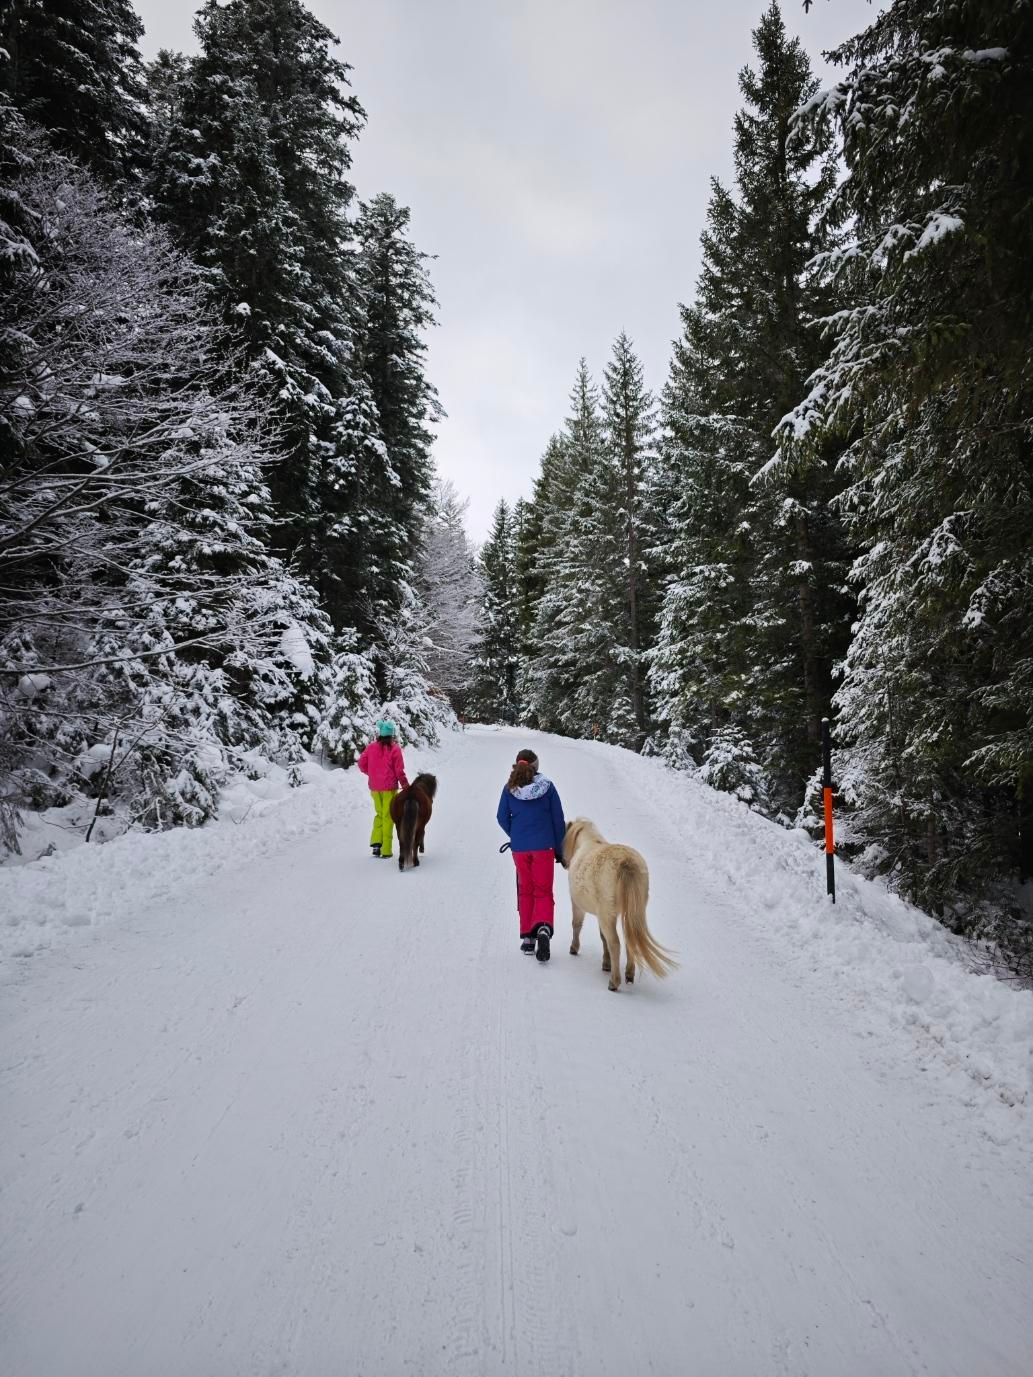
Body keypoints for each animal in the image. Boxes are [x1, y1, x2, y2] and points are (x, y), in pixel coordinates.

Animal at [562, 818, 677, 991]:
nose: (563, 862)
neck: (589, 843)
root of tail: (626, 863)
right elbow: (603, 937)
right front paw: (606, 962)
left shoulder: (580, 906)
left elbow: (577, 925)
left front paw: (574, 948)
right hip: (632, 912)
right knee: (630, 939)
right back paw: (629, 974)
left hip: (607, 914)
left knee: (615, 943)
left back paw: (614, 982)